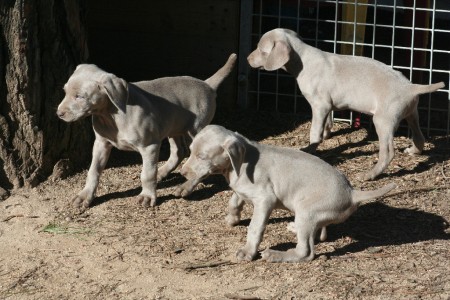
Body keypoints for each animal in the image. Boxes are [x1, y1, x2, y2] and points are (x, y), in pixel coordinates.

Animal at [57, 53, 236, 209]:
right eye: (65, 92)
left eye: (80, 96)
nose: (59, 113)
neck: (110, 116)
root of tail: (207, 84)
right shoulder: (101, 143)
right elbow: (93, 170)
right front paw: (85, 195)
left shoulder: (150, 146)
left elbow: (147, 173)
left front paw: (148, 196)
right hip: (173, 126)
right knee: (179, 152)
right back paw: (162, 172)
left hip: (195, 131)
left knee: (199, 164)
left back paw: (185, 186)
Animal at [178, 125, 396, 262]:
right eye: (190, 150)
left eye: (202, 156)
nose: (182, 173)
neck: (241, 162)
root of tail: (352, 193)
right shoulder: (241, 187)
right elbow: (235, 199)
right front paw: (232, 218)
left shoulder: (265, 199)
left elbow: (255, 228)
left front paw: (248, 251)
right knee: (318, 234)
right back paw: (294, 228)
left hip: (306, 210)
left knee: (305, 252)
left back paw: (276, 255)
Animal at [248, 28, 444, 180]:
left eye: (261, 50)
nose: (248, 59)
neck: (303, 58)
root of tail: (411, 88)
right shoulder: (327, 105)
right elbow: (327, 122)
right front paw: (326, 135)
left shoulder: (319, 105)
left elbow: (314, 131)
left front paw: (310, 149)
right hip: (411, 113)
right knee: (419, 136)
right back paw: (414, 151)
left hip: (383, 121)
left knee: (388, 152)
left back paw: (370, 175)